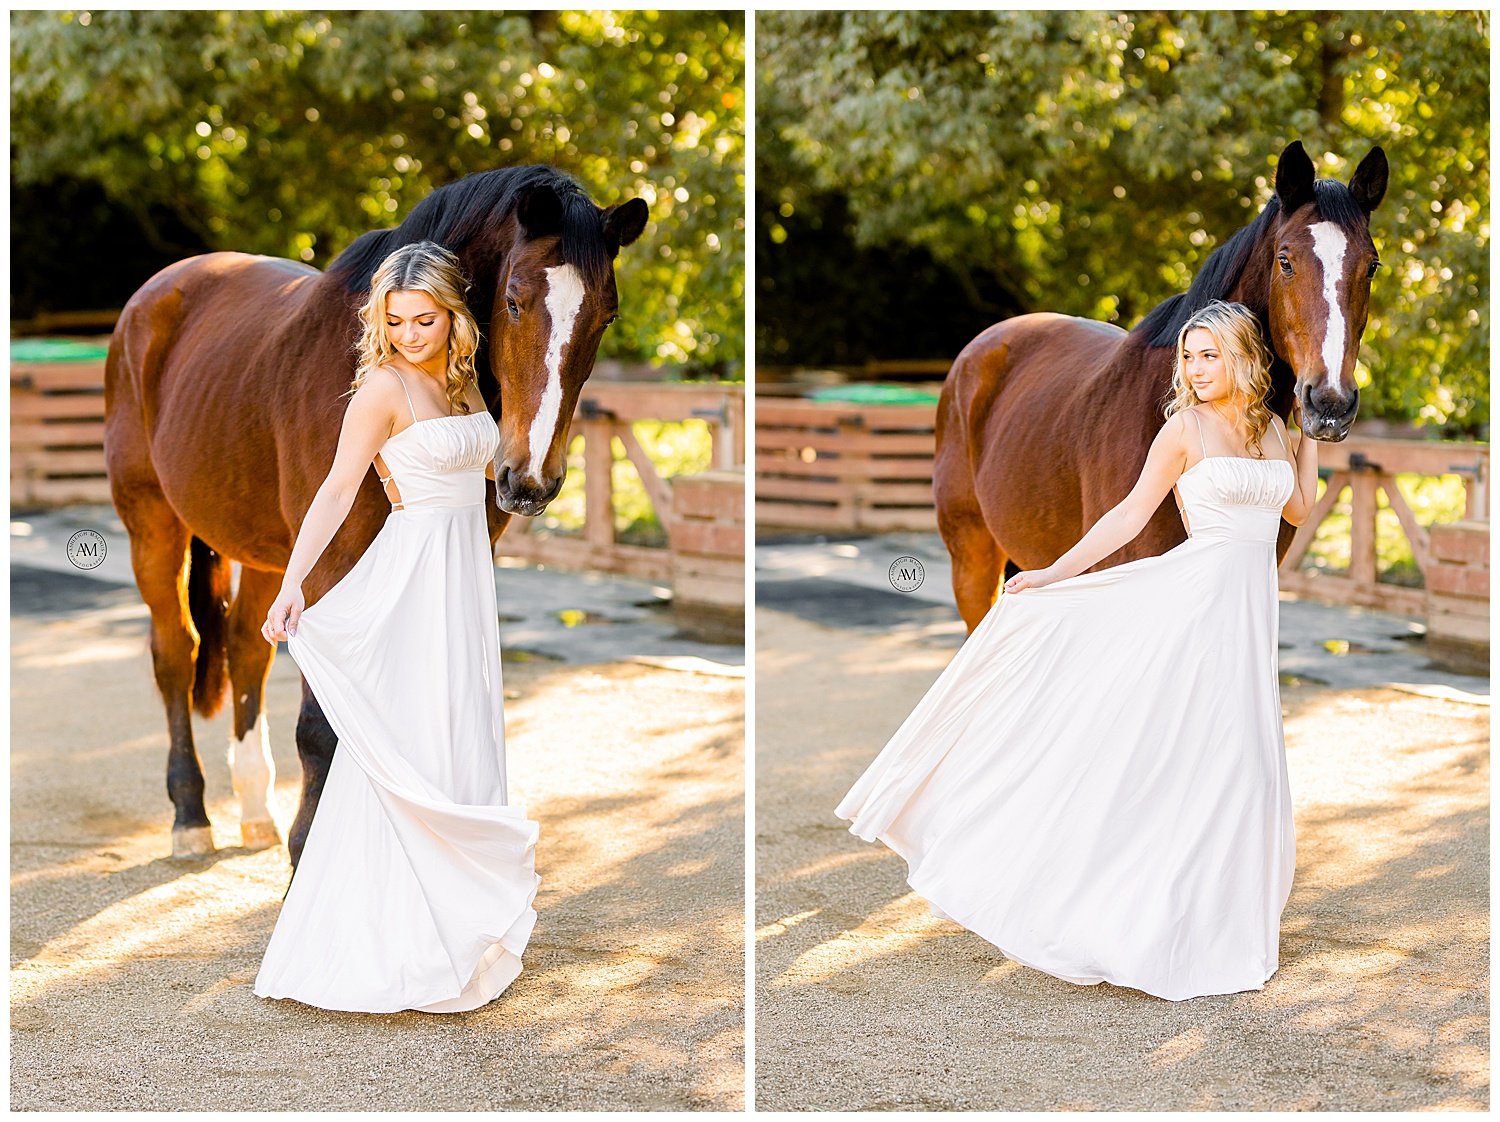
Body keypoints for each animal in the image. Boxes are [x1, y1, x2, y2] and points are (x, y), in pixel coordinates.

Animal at [104, 162, 645, 852]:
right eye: (515, 300)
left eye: (606, 316)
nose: (530, 480)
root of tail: (153, 296)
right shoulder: (330, 562)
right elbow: (322, 727)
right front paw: (309, 853)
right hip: (153, 525)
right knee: (176, 651)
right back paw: (191, 814)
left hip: (269, 553)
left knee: (246, 648)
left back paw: (253, 808)